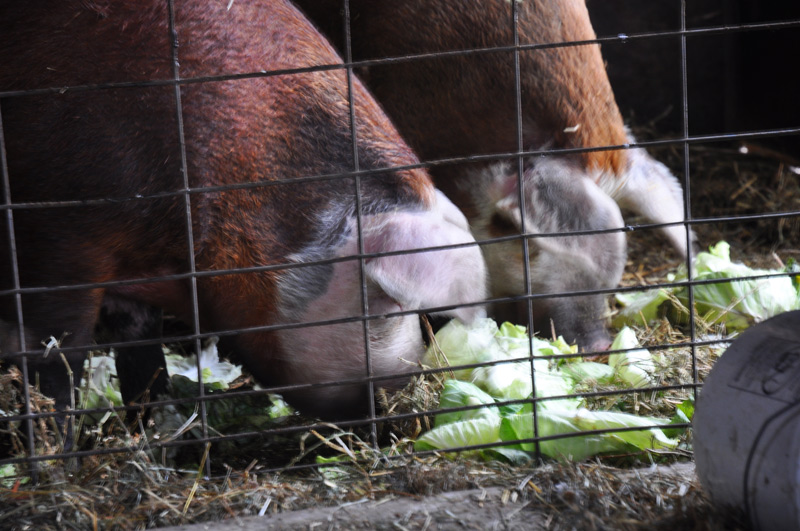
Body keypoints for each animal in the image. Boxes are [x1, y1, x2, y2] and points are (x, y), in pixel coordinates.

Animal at [0, 0, 486, 432]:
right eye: (388, 305)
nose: (400, 403)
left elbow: (142, 353)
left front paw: (160, 434)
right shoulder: (60, 236)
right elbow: (57, 356)